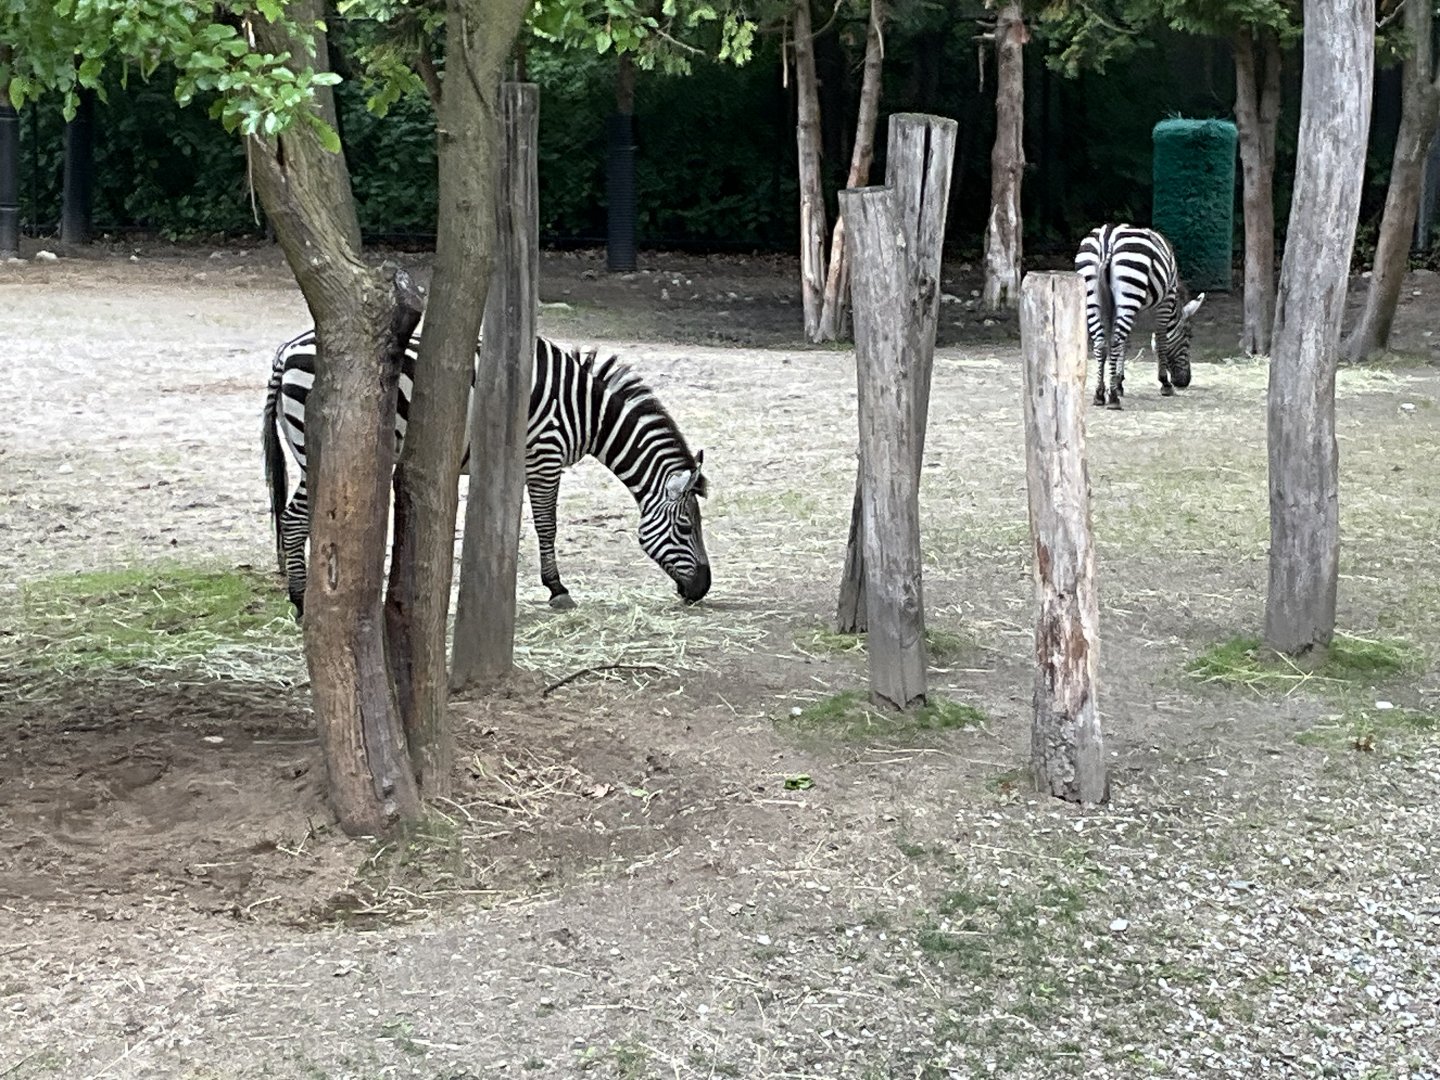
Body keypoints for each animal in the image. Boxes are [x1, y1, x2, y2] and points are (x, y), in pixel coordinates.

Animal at [262, 330, 711, 617]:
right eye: (687, 528)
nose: (702, 589)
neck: (589, 413)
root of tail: (286, 351)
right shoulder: (544, 455)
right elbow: (546, 524)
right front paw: (557, 589)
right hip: (317, 452)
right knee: (293, 519)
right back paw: (300, 600)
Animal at [1074, 224, 1205, 409]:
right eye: (1188, 336)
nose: (1184, 382)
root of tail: (1107, 237)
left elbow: (1125, 343)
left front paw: (1118, 382)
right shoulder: (1166, 300)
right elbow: (1161, 341)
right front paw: (1165, 384)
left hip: (1092, 295)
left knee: (1101, 343)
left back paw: (1099, 394)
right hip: (1129, 290)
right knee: (1115, 341)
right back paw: (1113, 399)